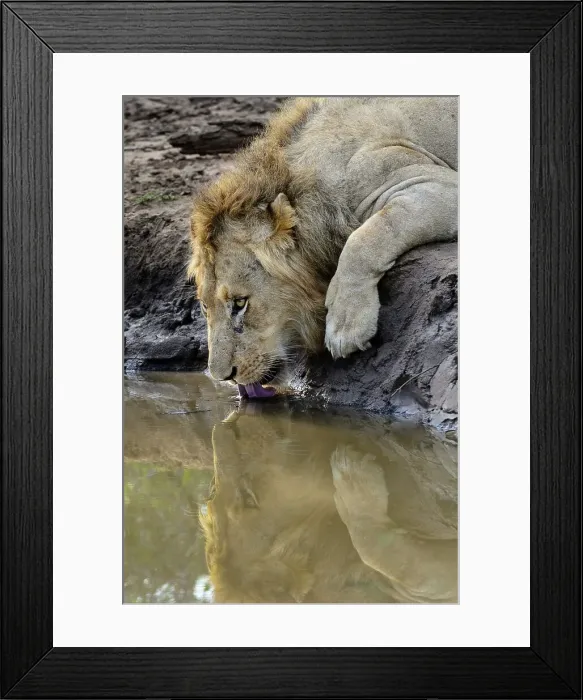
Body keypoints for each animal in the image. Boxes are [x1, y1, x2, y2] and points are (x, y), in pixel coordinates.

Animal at [189, 97, 458, 394]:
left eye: (239, 303)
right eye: (204, 307)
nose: (223, 377)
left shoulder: (436, 183)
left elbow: (364, 238)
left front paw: (344, 326)